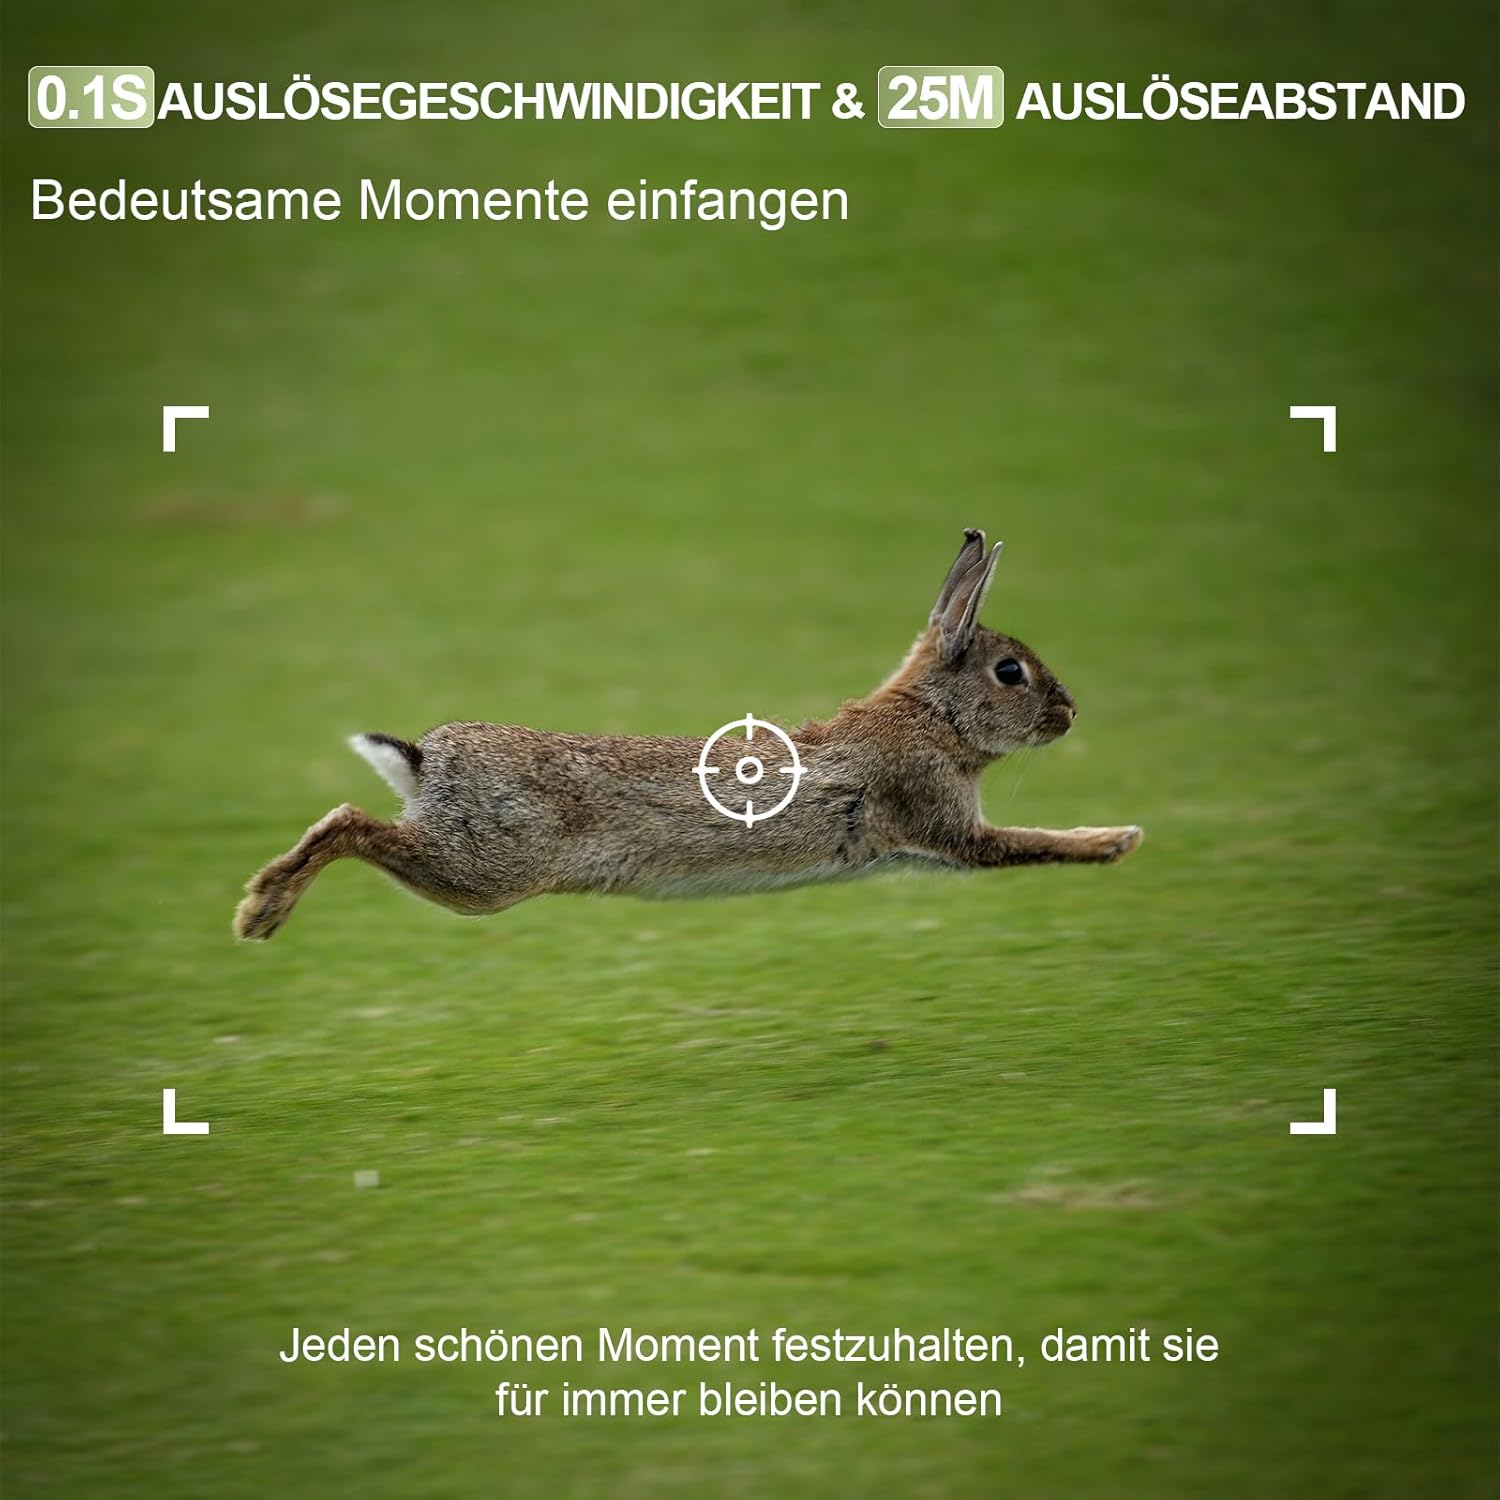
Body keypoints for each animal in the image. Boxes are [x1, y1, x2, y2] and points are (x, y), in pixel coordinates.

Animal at [233, 528, 1142, 941]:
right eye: (1011, 673)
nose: (1070, 714)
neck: (931, 716)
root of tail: (427, 763)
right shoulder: (944, 823)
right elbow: (1030, 844)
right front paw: (1118, 841)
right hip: (486, 869)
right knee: (353, 825)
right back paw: (261, 912)